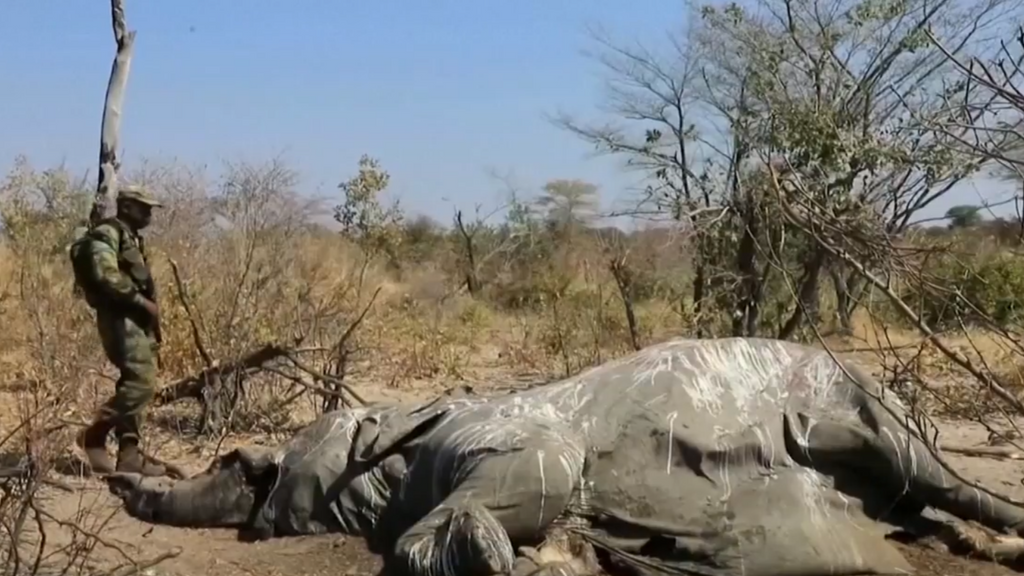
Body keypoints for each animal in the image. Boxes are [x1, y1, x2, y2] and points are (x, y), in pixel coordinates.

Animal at [105, 336, 1024, 573]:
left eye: (234, 468)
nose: (125, 481)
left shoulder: (509, 442)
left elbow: (507, 493)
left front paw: (501, 557)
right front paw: (551, 559)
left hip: (864, 405)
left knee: (932, 476)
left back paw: (1004, 533)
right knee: (921, 506)